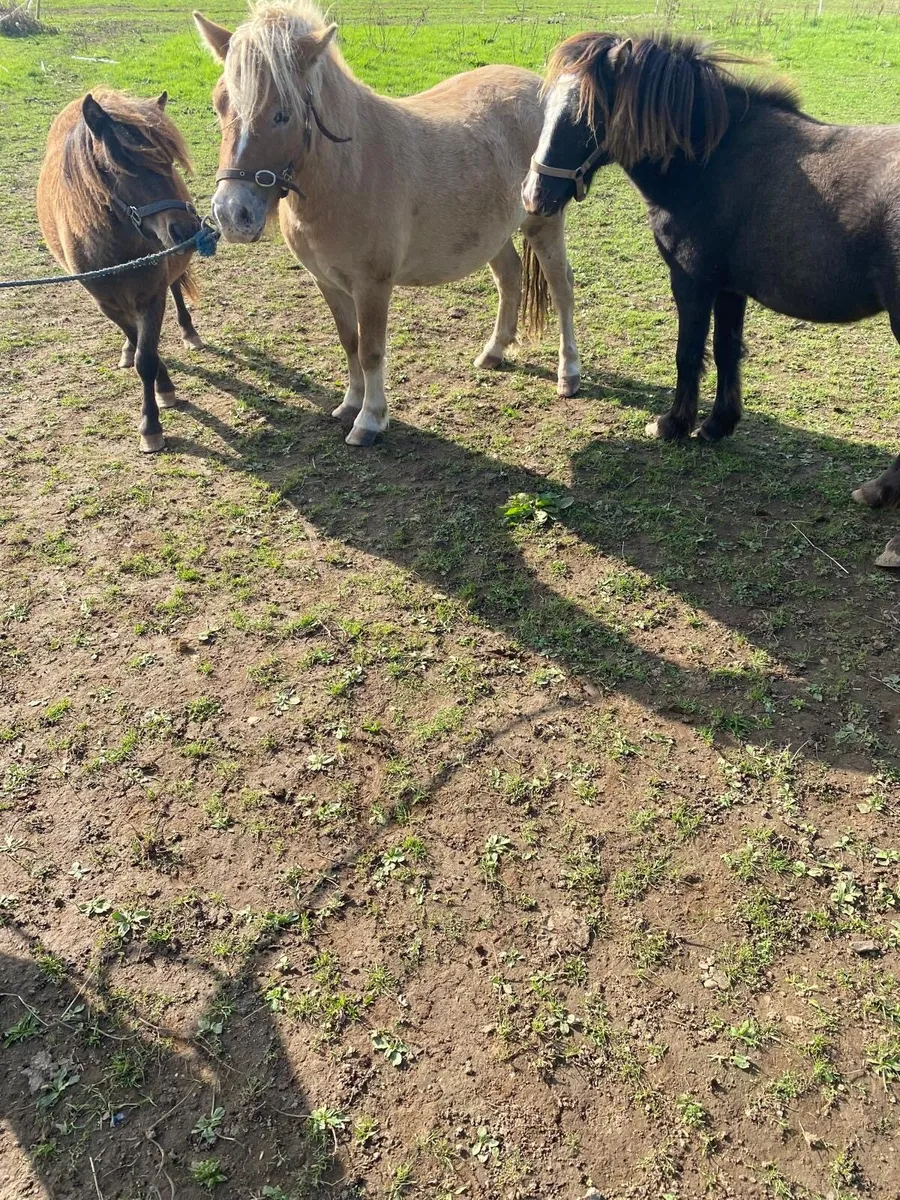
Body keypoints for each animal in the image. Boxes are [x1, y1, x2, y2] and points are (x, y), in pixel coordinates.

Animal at [37, 90, 204, 454]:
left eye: (168, 161)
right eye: (122, 168)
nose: (186, 230)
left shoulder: (152, 297)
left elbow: (148, 357)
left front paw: (153, 419)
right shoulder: (108, 305)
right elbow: (140, 346)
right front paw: (158, 399)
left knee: (176, 289)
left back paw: (189, 331)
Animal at [192, 0, 581, 449]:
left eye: (281, 114)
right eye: (219, 103)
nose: (231, 214)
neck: (349, 169)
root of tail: (538, 88)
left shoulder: (373, 285)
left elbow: (371, 350)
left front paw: (371, 420)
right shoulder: (327, 282)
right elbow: (349, 342)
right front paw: (349, 404)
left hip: (544, 222)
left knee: (561, 286)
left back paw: (569, 373)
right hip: (494, 233)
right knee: (510, 278)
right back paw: (494, 352)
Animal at [522, 32, 900, 569]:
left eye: (587, 116)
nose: (534, 196)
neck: (713, 162)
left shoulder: (692, 281)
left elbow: (687, 353)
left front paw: (673, 424)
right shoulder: (729, 286)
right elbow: (725, 352)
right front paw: (717, 424)